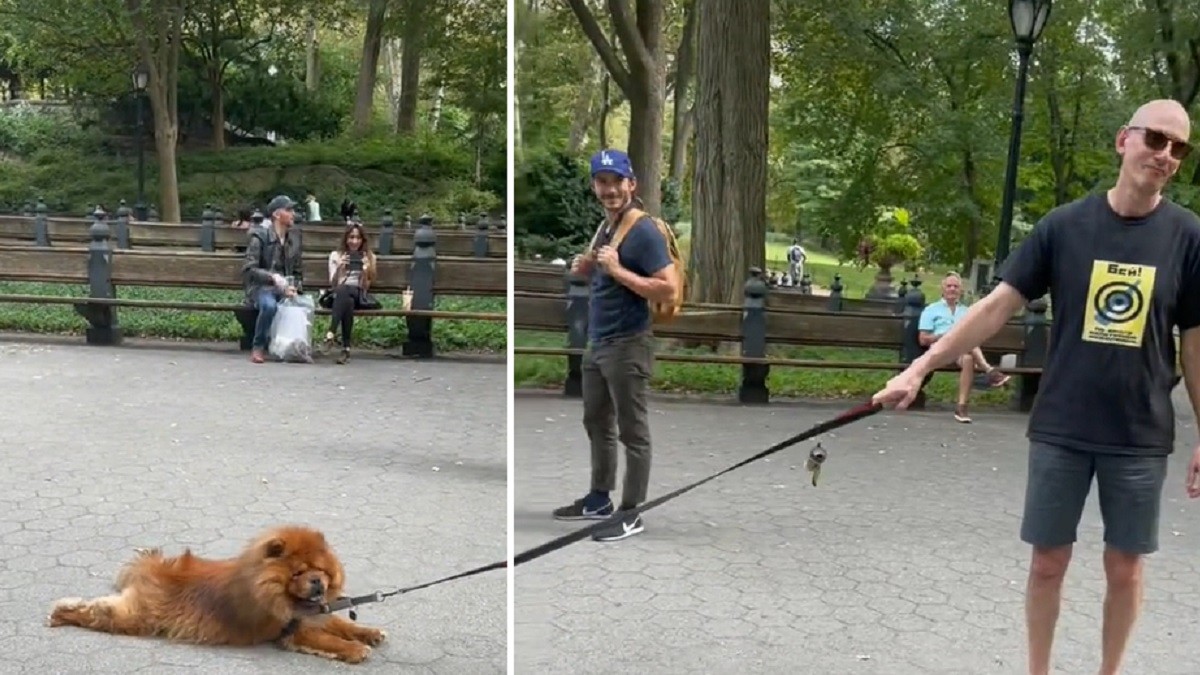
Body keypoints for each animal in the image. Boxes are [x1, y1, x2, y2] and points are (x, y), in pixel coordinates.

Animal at [45, 523, 384, 658]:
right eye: (299, 572)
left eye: (321, 571)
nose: (317, 582)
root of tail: (156, 568)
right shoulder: (294, 630)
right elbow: (329, 639)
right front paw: (356, 650)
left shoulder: (317, 615)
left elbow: (342, 624)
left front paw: (370, 633)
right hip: (138, 618)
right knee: (98, 613)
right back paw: (61, 612)